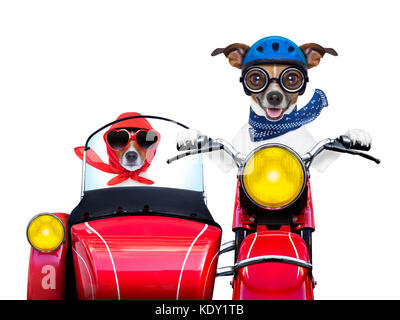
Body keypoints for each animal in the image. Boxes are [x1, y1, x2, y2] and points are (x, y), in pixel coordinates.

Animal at [178, 35, 372, 172]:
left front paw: (356, 133)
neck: (273, 131)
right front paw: (191, 134)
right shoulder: (226, 161)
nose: (274, 97)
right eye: (256, 78)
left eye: (292, 78)